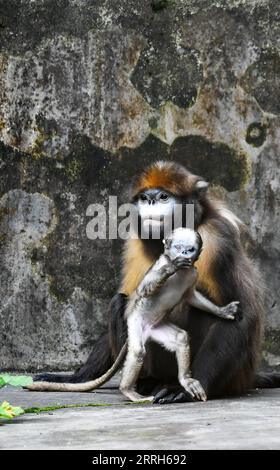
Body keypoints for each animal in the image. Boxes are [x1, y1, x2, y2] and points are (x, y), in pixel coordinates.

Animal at [120, 227, 238, 400]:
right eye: (178, 247)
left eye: (190, 249)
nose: (184, 252)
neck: (182, 273)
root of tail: (148, 330)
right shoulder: (160, 263)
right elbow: (143, 290)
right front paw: (172, 266)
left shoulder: (194, 273)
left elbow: (191, 296)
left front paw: (222, 311)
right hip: (136, 321)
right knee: (138, 351)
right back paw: (128, 390)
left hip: (157, 328)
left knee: (181, 338)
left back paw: (185, 380)